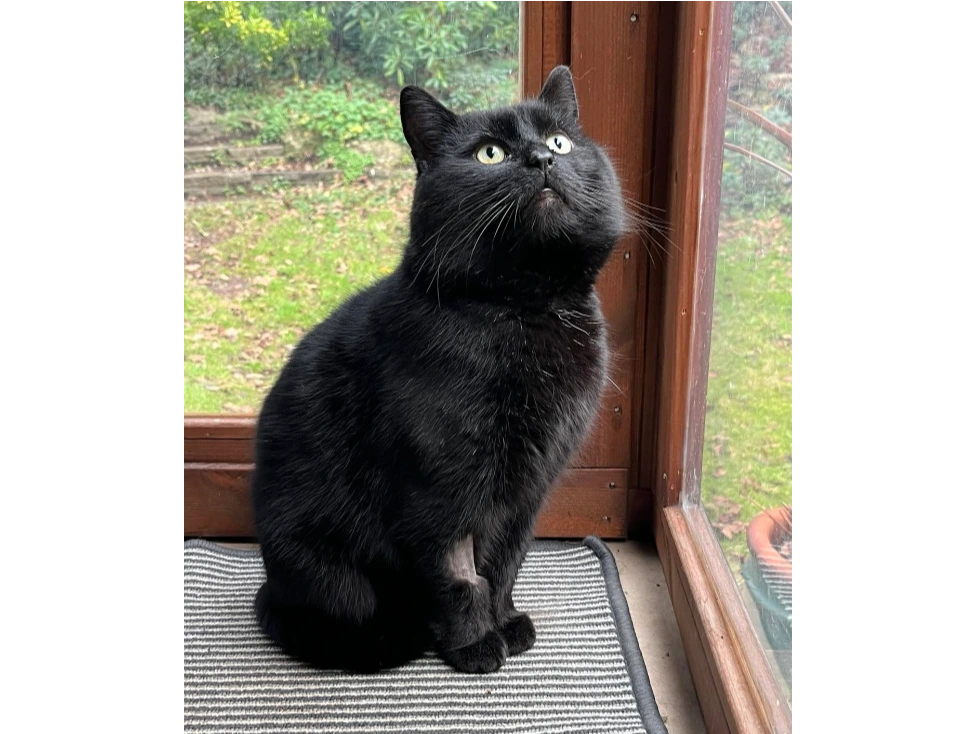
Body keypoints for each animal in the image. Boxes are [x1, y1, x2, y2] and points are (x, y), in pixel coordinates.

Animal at [249, 66, 624, 676]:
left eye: (561, 140)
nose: (542, 158)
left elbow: (505, 564)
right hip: (331, 570)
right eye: (491, 153)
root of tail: (272, 587)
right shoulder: (439, 488)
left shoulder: (527, 490)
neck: (525, 309)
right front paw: (473, 645)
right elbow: (459, 575)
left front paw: (505, 622)